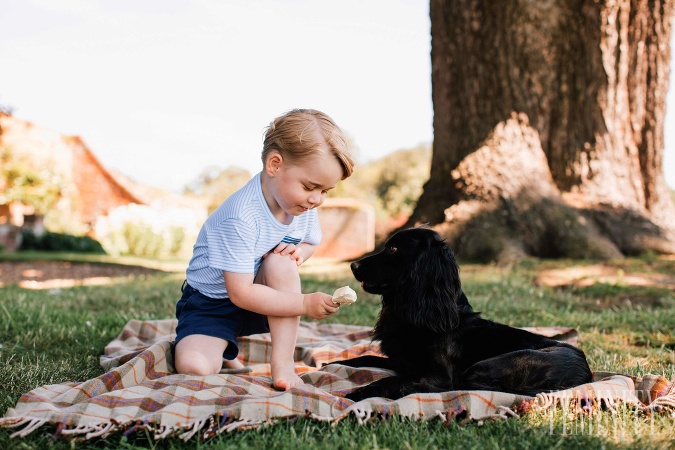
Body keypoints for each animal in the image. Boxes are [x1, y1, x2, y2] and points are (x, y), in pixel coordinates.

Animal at [336, 229, 592, 400]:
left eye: (394, 248)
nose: (353, 265)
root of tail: (586, 376)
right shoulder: (402, 362)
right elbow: (363, 359)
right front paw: (333, 363)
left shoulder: (438, 374)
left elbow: (393, 379)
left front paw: (358, 393)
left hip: (490, 365)